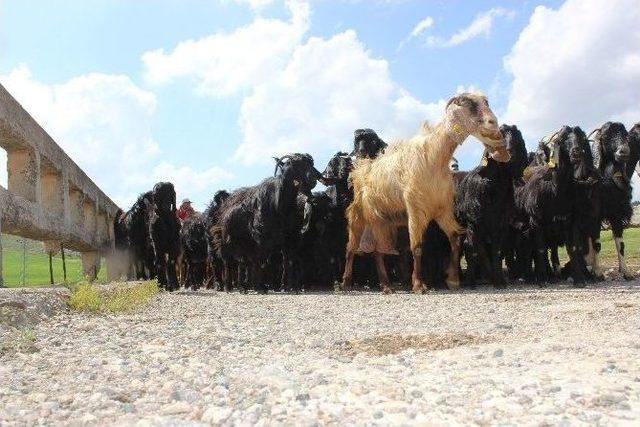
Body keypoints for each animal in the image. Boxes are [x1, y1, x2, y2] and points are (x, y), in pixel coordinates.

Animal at [344, 93, 510, 294]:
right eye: (466, 103)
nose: (492, 122)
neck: (433, 157)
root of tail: (360, 170)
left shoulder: (443, 210)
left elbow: (455, 239)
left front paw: (452, 279)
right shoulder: (415, 210)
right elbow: (417, 247)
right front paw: (418, 285)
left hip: (387, 220)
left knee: (378, 250)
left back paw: (386, 285)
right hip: (364, 215)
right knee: (352, 248)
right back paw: (347, 283)